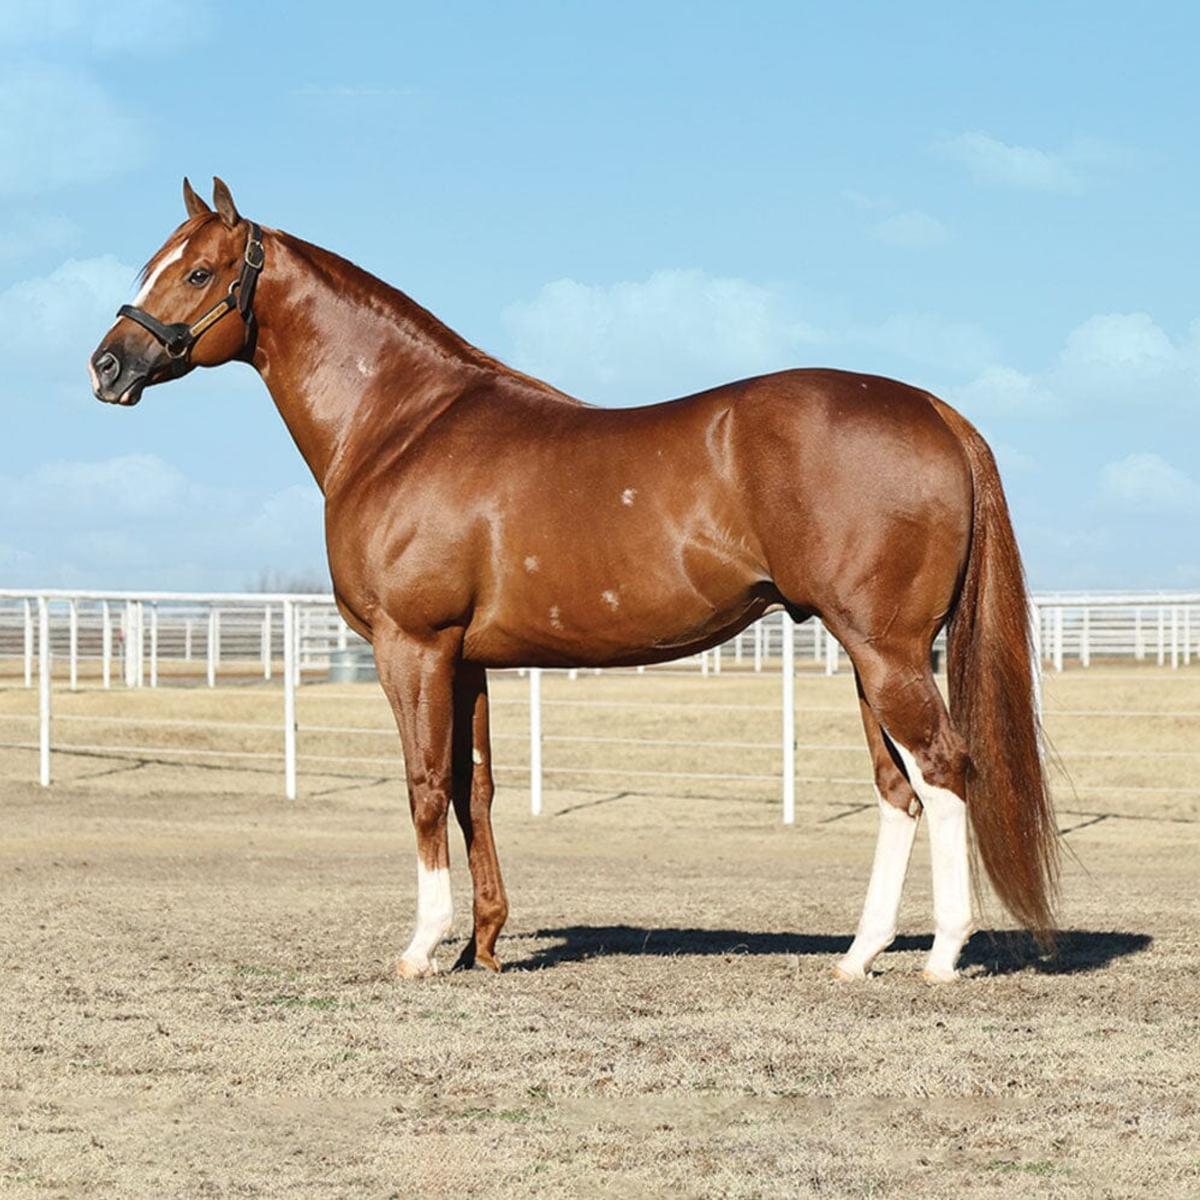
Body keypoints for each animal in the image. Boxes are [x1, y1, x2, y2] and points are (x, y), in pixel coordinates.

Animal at [89, 178, 1058, 983]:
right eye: (153, 264)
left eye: (200, 270)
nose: (108, 365)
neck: (400, 422)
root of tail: (933, 409)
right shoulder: (467, 660)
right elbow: (471, 789)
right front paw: (482, 945)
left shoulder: (413, 647)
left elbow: (421, 784)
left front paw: (422, 947)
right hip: (872, 656)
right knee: (899, 791)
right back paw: (858, 958)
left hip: (885, 652)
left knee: (943, 771)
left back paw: (941, 957)